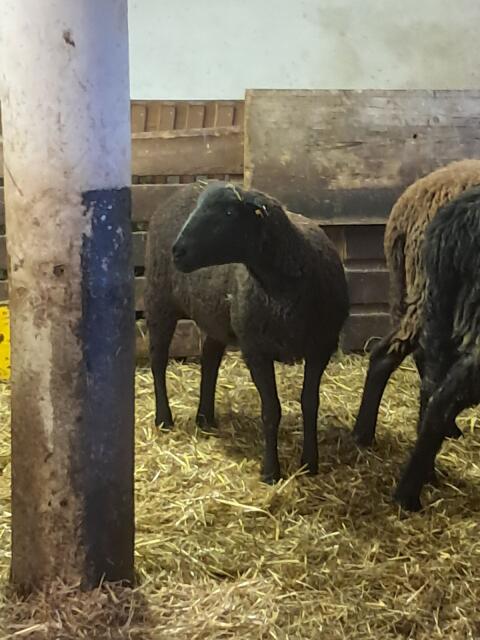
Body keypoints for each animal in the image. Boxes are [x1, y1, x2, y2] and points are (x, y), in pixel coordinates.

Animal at [145, 181, 349, 484]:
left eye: (230, 212)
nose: (177, 252)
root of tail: (180, 190)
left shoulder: (321, 348)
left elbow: (310, 404)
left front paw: (310, 463)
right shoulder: (256, 350)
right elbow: (271, 410)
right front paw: (270, 471)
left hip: (215, 316)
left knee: (209, 361)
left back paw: (205, 417)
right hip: (159, 300)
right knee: (158, 361)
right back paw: (164, 419)